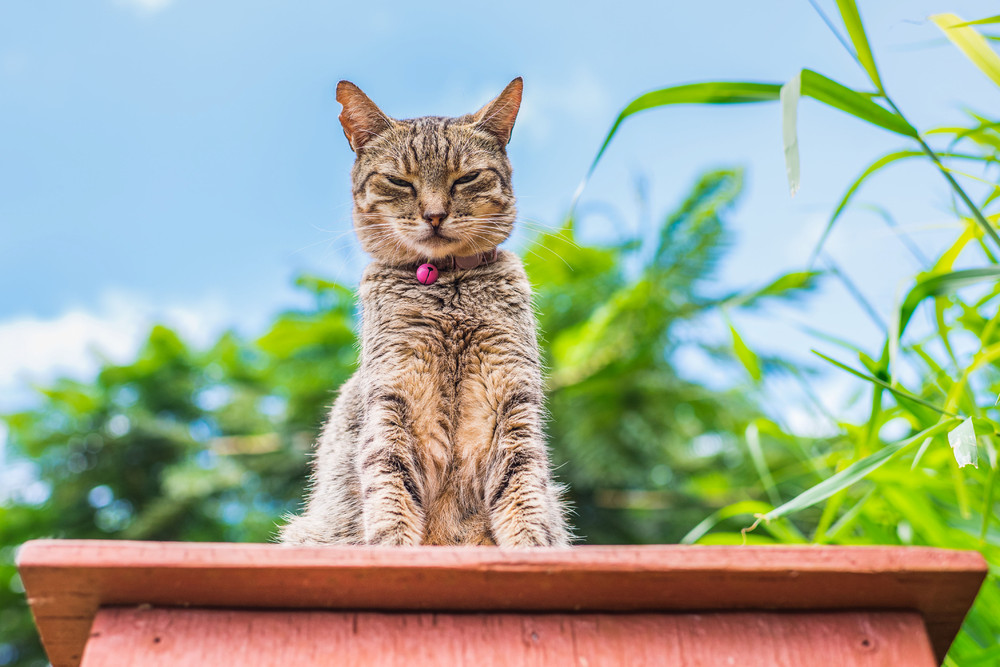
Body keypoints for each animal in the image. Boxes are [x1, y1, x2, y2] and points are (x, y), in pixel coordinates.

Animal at [280, 78, 572, 548]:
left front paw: (531, 549)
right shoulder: (392, 400)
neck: (446, 287)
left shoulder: (512, 401)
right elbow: (390, 487)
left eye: (467, 177)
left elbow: (524, 491)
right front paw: (391, 549)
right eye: (400, 181)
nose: (435, 215)